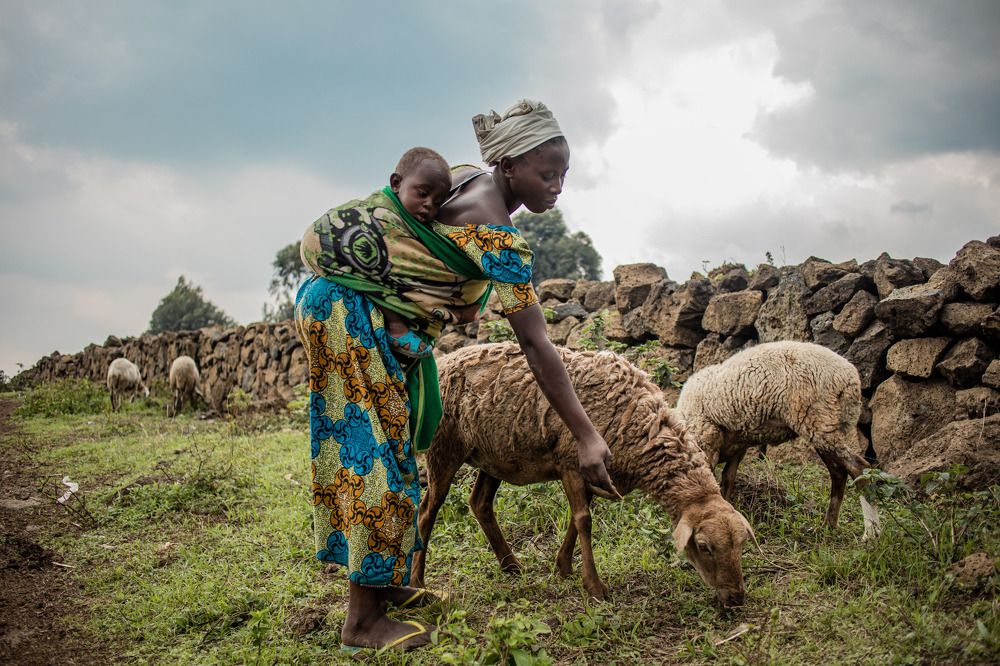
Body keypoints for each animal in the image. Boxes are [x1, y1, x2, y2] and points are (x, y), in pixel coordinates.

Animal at [410, 342, 755, 607]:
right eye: (705, 547)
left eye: (741, 545)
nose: (736, 598)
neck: (641, 429)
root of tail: (445, 358)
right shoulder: (571, 464)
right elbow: (584, 520)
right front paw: (595, 587)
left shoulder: (594, 475)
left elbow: (578, 519)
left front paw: (563, 567)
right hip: (444, 444)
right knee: (427, 511)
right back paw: (418, 583)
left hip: (493, 455)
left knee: (480, 503)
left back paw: (511, 565)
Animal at [675, 340, 880, 538]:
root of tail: (850, 379)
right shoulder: (736, 448)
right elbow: (727, 480)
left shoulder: (706, 440)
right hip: (825, 426)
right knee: (839, 473)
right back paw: (828, 526)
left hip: (817, 419)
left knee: (859, 469)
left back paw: (871, 533)